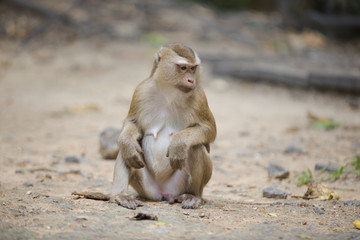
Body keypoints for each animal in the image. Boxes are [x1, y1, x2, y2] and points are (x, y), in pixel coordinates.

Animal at [111, 44, 215, 209]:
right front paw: (128, 142)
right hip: (145, 187)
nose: (191, 80)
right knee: (127, 149)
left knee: (195, 147)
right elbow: (132, 123)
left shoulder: (199, 96)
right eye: (183, 68)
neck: (169, 92)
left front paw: (179, 143)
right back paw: (120, 195)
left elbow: (209, 130)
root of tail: (163, 194)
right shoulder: (140, 91)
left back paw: (192, 196)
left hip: (178, 186)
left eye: (193, 68)